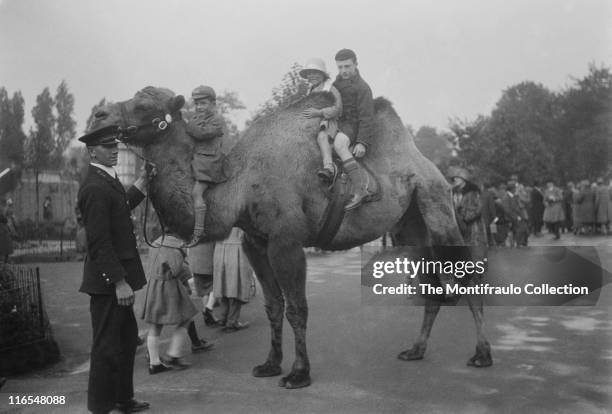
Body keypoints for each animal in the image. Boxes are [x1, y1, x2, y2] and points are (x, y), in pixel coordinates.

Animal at [91, 86, 492, 388]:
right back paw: (415, 350)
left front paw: (299, 373)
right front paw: (270, 364)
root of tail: (427, 164)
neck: (237, 185)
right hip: (408, 224)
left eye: (144, 104)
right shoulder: (256, 242)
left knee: (465, 277)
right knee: (431, 284)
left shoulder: (287, 241)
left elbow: (297, 308)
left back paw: (482, 355)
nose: (99, 115)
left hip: (437, 205)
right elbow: (273, 306)